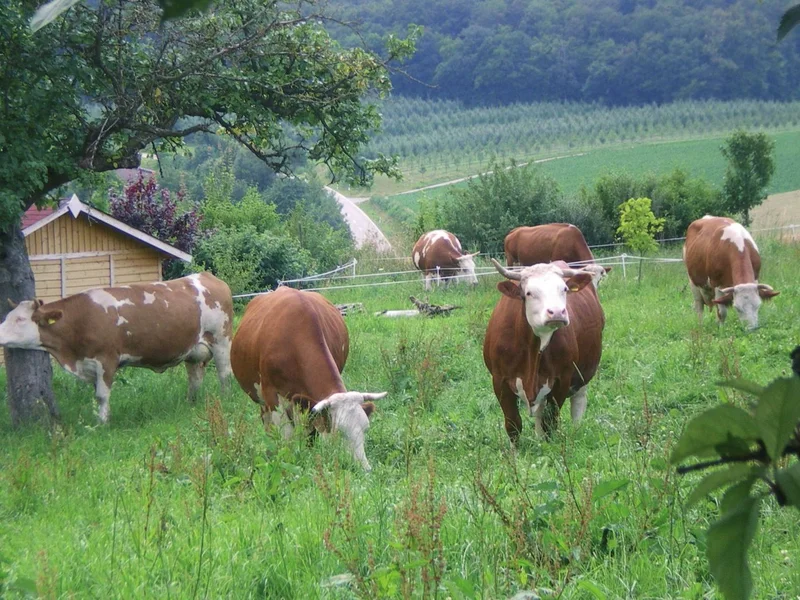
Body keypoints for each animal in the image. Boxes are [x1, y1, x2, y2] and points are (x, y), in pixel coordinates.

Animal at [0, 272, 233, 423]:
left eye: (20, 319)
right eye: (8, 316)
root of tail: (206, 276)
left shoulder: (106, 359)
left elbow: (102, 395)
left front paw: (102, 424)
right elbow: (96, 395)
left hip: (222, 340)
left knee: (224, 374)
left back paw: (225, 398)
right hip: (193, 351)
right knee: (195, 378)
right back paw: (190, 403)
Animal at [230, 286, 387, 471]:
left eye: (365, 428)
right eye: (339, 432)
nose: (364, 469)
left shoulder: (311, 404)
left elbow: (312, 433)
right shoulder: (272, 395)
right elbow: (286, 436)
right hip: (262, 400)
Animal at [483, 259, 605, 441]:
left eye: (564, 289)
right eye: (529, 293)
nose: (557, 312)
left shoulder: (562, 380)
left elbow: (550, 422)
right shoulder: (499, 380)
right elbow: (513, 424)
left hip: (584, 372)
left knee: (577, 404)